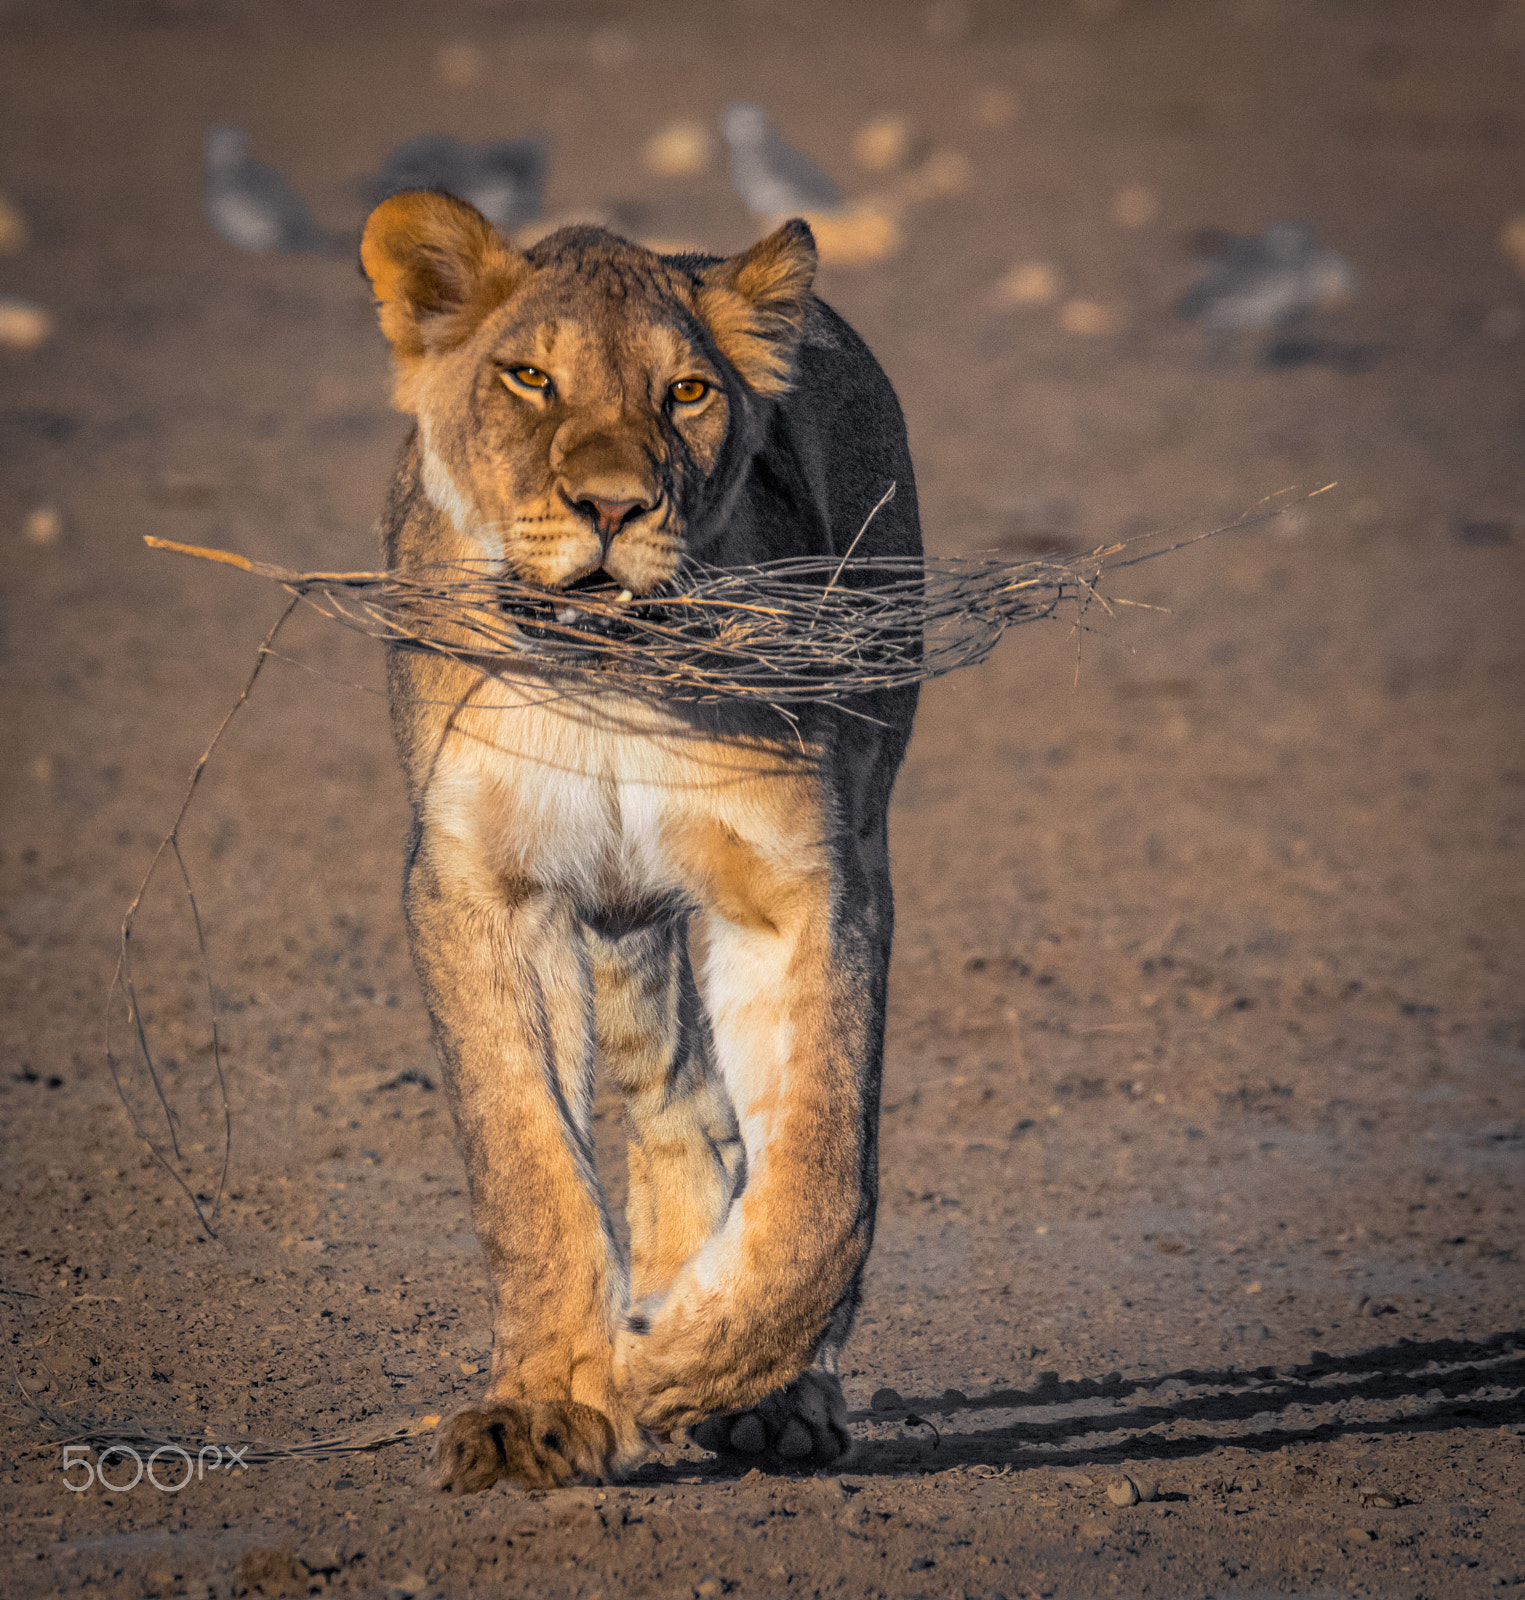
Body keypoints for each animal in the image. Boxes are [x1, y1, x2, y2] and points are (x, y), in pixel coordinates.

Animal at [357, 191, 922, 1491]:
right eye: (528, 377)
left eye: (686, 393)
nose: (611, 507)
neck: (606, 679)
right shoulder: (480, 882)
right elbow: (527, 1165)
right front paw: (548, 1401)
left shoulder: (801, 883)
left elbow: (825, 1172)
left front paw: (689, 1368)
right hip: (617, 917)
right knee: (675, 1106)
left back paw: (770, 1391)